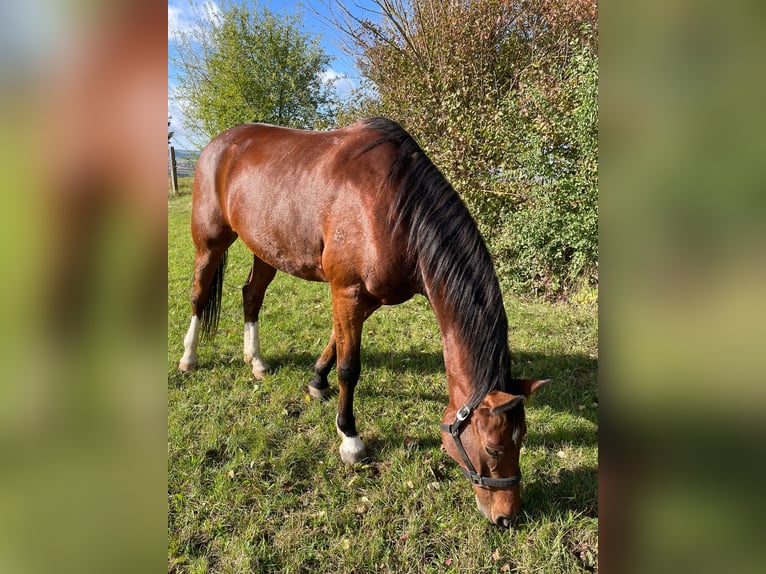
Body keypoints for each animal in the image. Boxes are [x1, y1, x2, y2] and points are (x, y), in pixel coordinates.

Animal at [180, 118, 552, 532]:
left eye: (523, 439)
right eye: (494, 447)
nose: (507, 516)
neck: (396, 208)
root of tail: (219, 143)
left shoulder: (366, 298)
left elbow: (335, 342)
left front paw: (316, 381)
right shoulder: (348, 290)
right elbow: (350, 367)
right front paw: (350, 439)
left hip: (265, 248)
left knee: (251, 296)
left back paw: (256, 362)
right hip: (210, 241)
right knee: (199, 295)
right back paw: (189, 359)